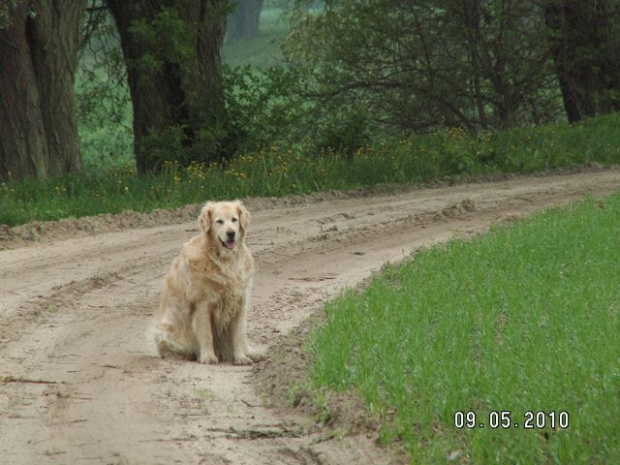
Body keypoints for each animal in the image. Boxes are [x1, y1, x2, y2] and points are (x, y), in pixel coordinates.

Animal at [153, 198, 264, 362]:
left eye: (234, 220)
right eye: (219, 221)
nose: (231, 233)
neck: (225, 260)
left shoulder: (240, 302)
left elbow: (238, 335)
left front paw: (241, 358)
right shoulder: (202, 303)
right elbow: (206, 334)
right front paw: (208, 357)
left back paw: (252, 353)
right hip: (164, 332)